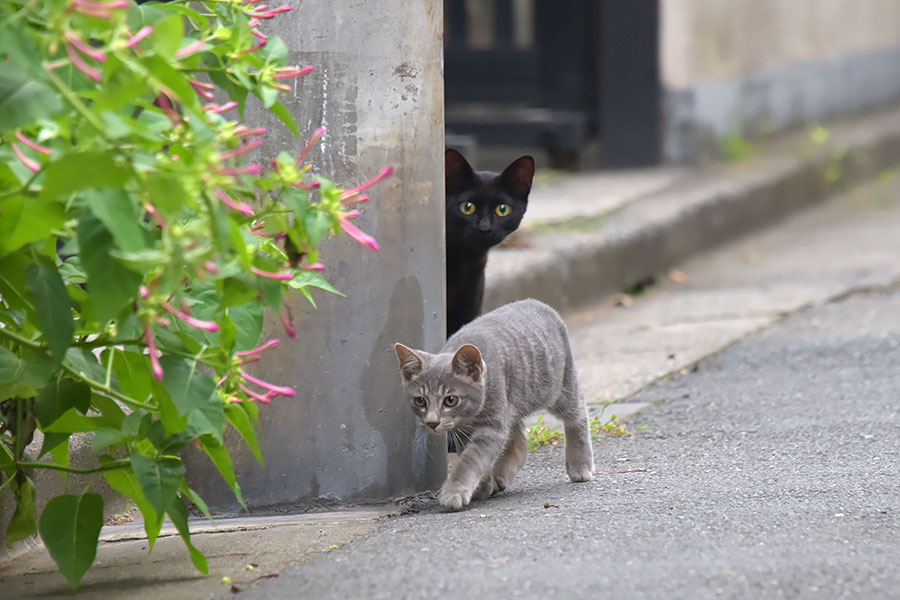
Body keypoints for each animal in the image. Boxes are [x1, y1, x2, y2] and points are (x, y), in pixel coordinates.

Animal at [392, 300, 592, 510]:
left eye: (450, 400)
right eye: (420, 401)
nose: (432, 422)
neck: (470, 417)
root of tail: (539, 303)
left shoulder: (492, 426)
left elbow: (471, 460)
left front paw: (455, 491)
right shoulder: (466, 431)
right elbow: (476, 457)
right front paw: (482, 487)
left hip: (559, 386)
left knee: (577, 413)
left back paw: (580, 464)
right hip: (512, 406)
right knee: (519, 442)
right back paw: (500, 477)